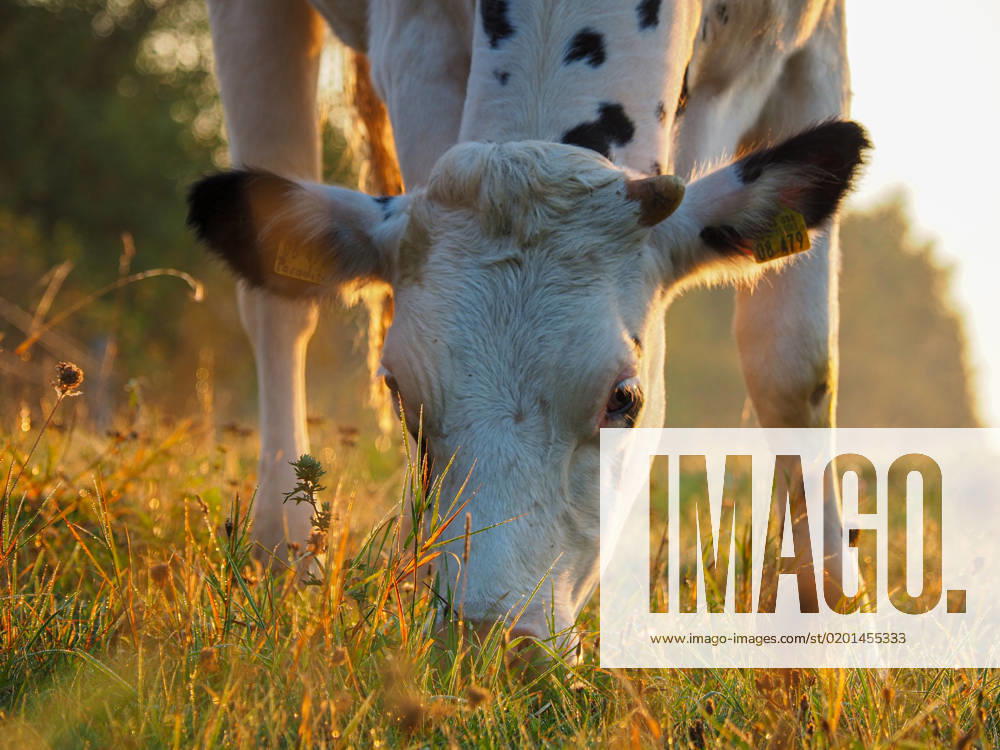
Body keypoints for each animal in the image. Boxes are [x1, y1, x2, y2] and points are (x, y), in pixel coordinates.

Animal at [188, 0, 869, 644]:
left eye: (624, 398)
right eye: (400, 395)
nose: (489, 638)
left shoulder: (813, 47)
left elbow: (792, 364)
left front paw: (822, 606)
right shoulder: (418, 47)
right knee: (279, 306)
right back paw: (282, 545)